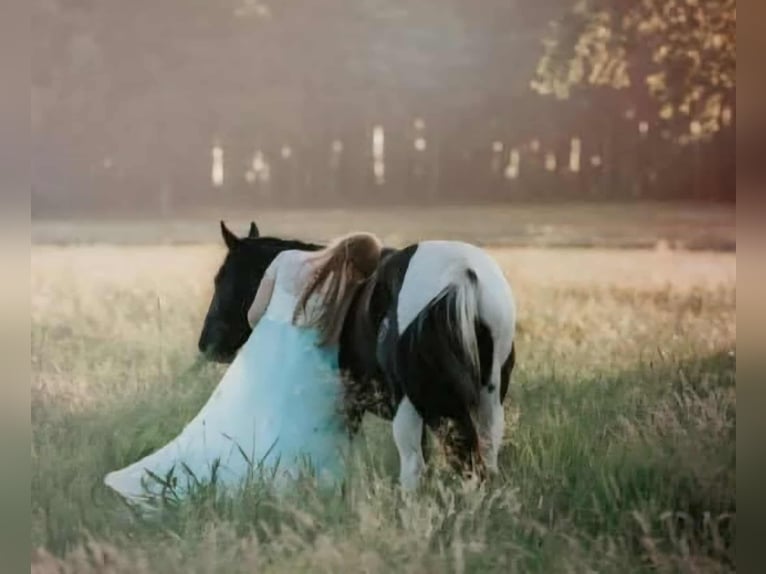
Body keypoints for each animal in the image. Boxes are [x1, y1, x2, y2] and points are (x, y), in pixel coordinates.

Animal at [198, 221, 517, 489]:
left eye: (220, 278)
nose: (207, 345)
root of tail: (463, 274)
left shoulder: (349, 405)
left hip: (410, 404)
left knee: (415, 464)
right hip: (487, 398)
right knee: (486, 455)